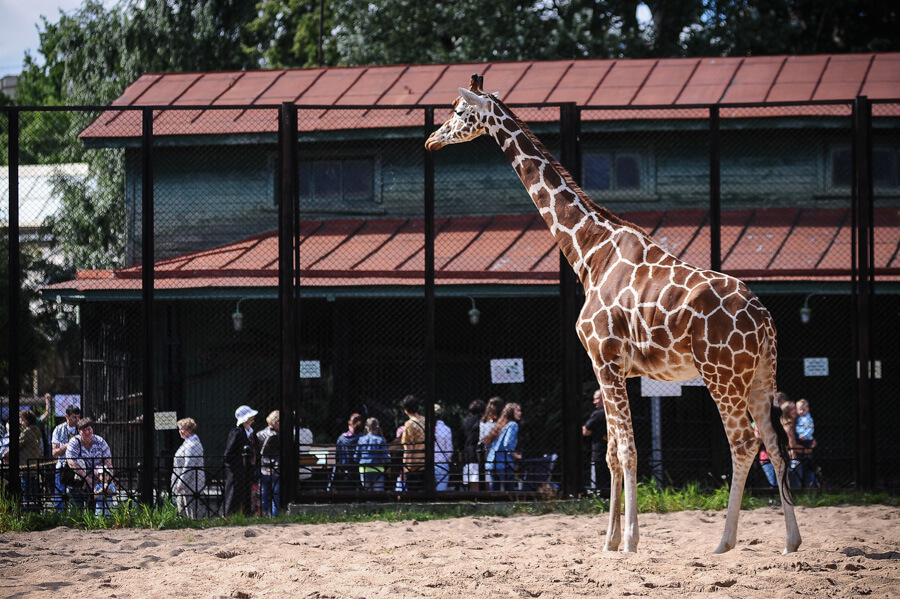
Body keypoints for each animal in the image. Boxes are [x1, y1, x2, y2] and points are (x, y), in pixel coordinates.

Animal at [428, 76, 800, 556]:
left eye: (458, 111)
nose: (431, 140)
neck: (589, 252)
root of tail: (765, 319)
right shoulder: (609, 367)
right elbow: (609, 453)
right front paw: (608, 541)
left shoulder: (604, 360)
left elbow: (626, 451)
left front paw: (630, 541)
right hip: (758, 377)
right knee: (775, 441)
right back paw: (791, 542)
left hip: (721, 374)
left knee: (743, 442)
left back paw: (724, 543)